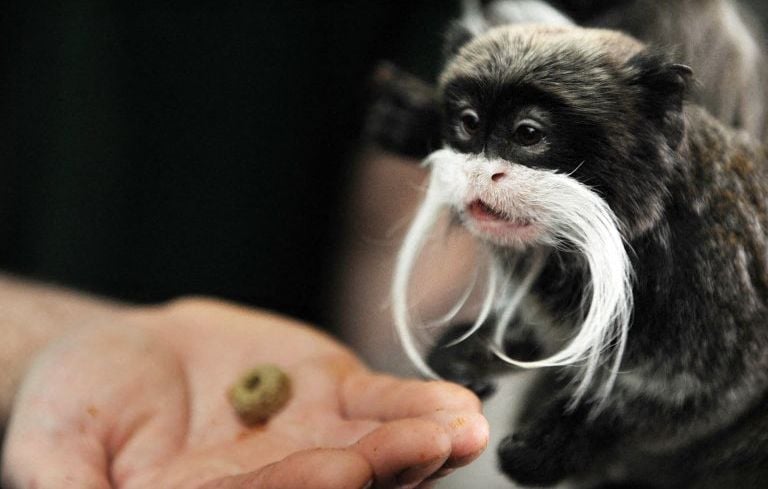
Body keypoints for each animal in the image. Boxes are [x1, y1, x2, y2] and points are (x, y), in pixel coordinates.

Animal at [390, 22, 768, 489]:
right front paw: (470, 354)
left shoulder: (713, 273)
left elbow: (712, 393)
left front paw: (562, 441)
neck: (645, 227)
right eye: (469, 123)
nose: (481, 173)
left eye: (527, 133)